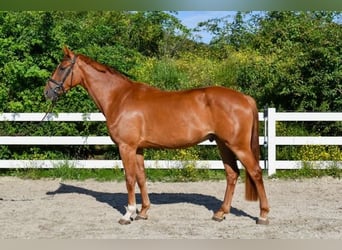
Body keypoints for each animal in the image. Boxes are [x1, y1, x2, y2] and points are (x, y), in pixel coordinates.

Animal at [44, 47, 270, 225]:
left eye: (62, 67)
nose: (47, 92)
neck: (120, 97)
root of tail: (245, 98)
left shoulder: (126, 147)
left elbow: (129, 179)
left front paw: (128, 214)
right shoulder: (138, 148)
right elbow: (141, 178)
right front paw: (143, 212)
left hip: (239, 146)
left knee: (256, 172)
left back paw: (263, 215)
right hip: (224, 145)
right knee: (232, 174)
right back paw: (221, 213)